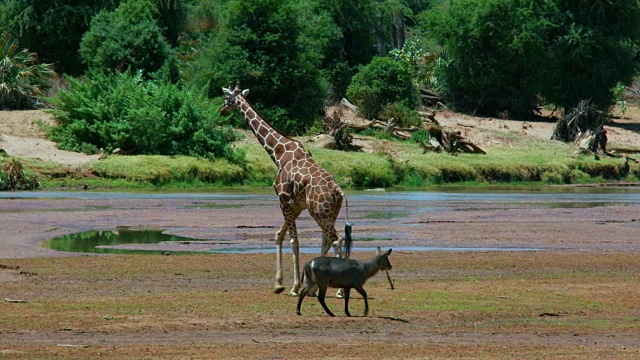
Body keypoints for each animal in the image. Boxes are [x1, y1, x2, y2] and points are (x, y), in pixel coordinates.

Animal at [219, 83, 350, 296]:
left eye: (227, 99)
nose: (221, 110)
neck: (278, 154)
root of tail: (338, 191)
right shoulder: (296, 205)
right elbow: (279, 235)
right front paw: (279, 283)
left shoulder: (284, 200)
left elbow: (293, 242)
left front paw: (295, 287)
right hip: (329, 213)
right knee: (328, 240)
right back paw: (318, 286)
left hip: (320, 212)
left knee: (337, 241)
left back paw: (339, 290)